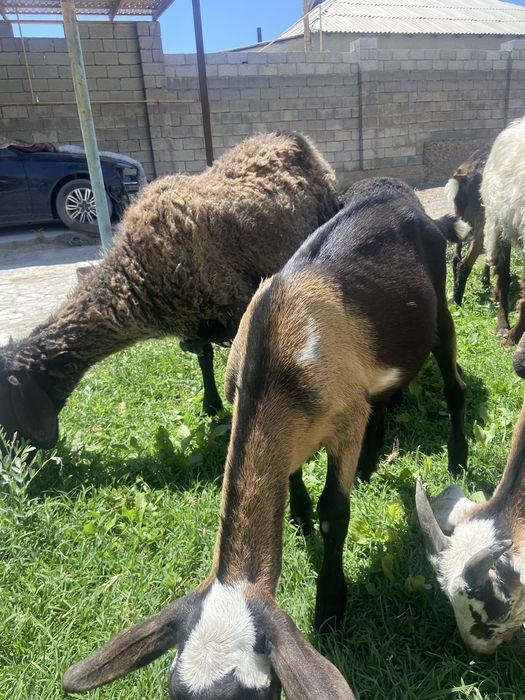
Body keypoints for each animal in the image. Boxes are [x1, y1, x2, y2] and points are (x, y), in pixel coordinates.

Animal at [0, 132, 339, 450]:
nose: (15, 460)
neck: (136, 273)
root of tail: (292, 137)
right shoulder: (195, 323)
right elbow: (204, 359)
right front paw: (210, 407)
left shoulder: (235, 309)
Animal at [62, 177, 468, 699]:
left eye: (259, 692)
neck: (276, 361)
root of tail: (421, 211)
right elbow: (292, 476)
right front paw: (298, 518)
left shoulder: (344, 419)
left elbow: (335, 511)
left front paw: (330, 605)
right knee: (383, 400)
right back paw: (372, 463)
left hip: (440, 315)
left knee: (454, 385)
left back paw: (457, 460)